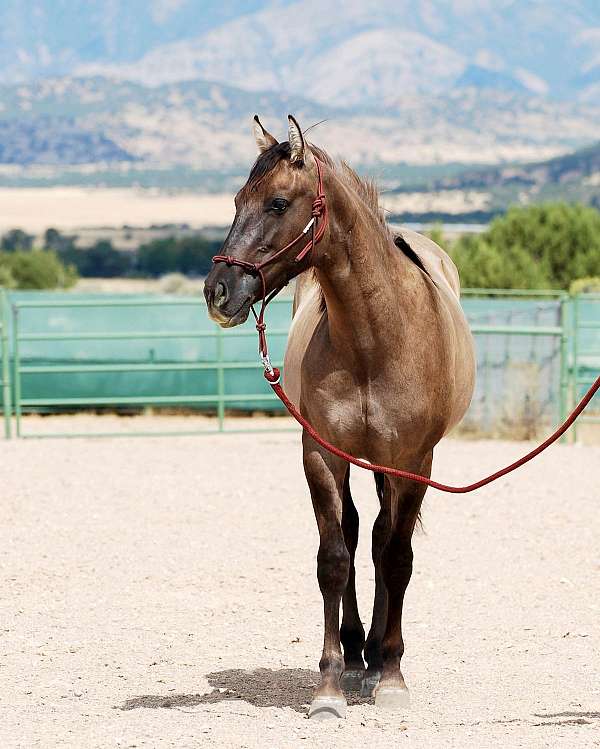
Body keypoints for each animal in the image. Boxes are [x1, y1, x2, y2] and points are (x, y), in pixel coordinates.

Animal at [204, 115, 476, 719]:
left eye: (278, 203)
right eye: (236, 201)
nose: (218, 291)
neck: (377, 336)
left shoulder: (412, 462)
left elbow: (396, 557)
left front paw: (392, 675)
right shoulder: (322, 454)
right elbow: (334, 558)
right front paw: (329, 684)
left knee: (380, 540)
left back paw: (376, 658)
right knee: (354, 537)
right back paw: (356, 656)